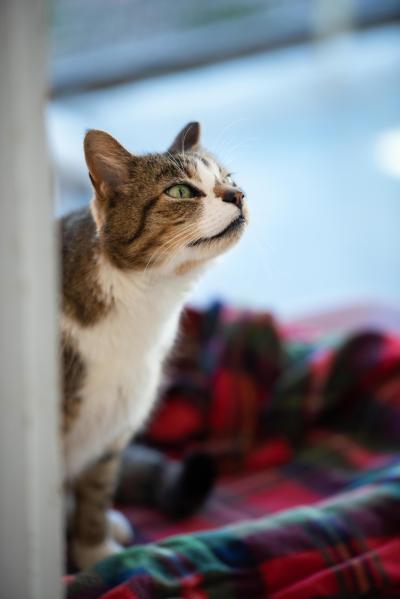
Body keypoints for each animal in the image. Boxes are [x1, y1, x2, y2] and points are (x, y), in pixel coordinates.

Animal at [61, 123, 247, 572]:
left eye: (228, 179)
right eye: (180, 191)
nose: (239, 195)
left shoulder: (112, 429)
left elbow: (95, 496)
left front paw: (94, 554)